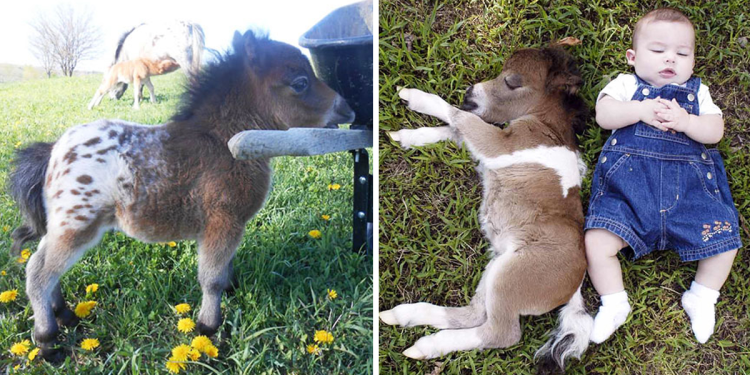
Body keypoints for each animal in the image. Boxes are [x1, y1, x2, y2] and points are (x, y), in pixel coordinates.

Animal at [8, 30, 356, 364]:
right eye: (300, 83)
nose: (348, 109)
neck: (223, 143)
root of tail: (53, 151)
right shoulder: (222, 221)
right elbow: (211, 278)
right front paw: (208, 327)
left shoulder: (230, 226)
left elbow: (223, 268)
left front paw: (229, 294)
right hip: (77, 226)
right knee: (38, 272)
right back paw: (47, 342)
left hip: (63, 226)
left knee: (46, 266)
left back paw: (64, 314)